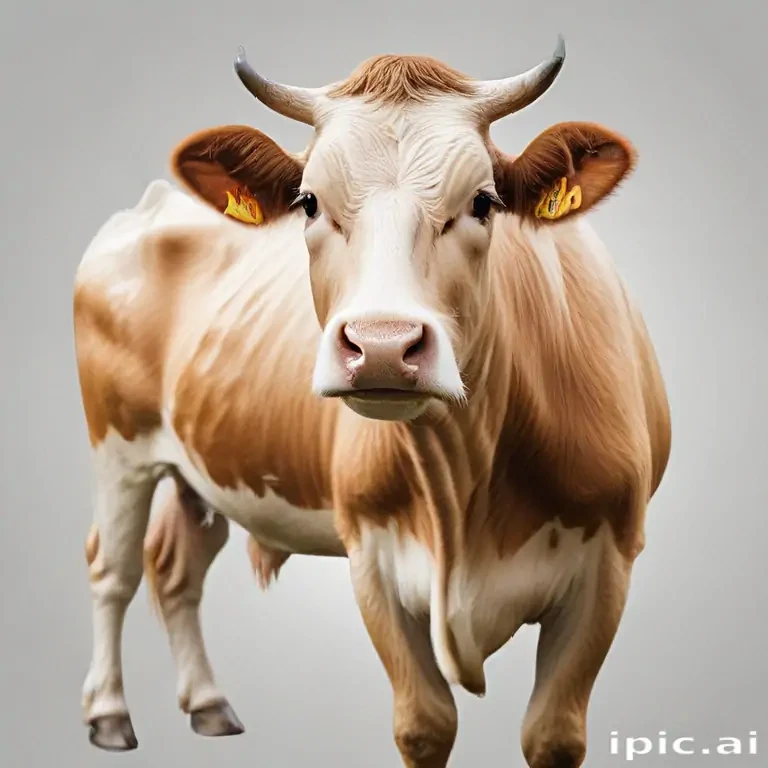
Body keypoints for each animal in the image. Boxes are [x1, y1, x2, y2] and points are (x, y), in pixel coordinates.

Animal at [74, 36, 671, 767]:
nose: (383, 346)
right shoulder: (374, 560)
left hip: (202, 463)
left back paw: (209, 707)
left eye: (484, 202)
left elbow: (553, 734)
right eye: (308, 202)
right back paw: (107, 714)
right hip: (117, 444)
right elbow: (424, 723)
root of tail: (157, 203)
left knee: (176, 567)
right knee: (115, 567)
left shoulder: (609, 562)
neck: (466, 491)